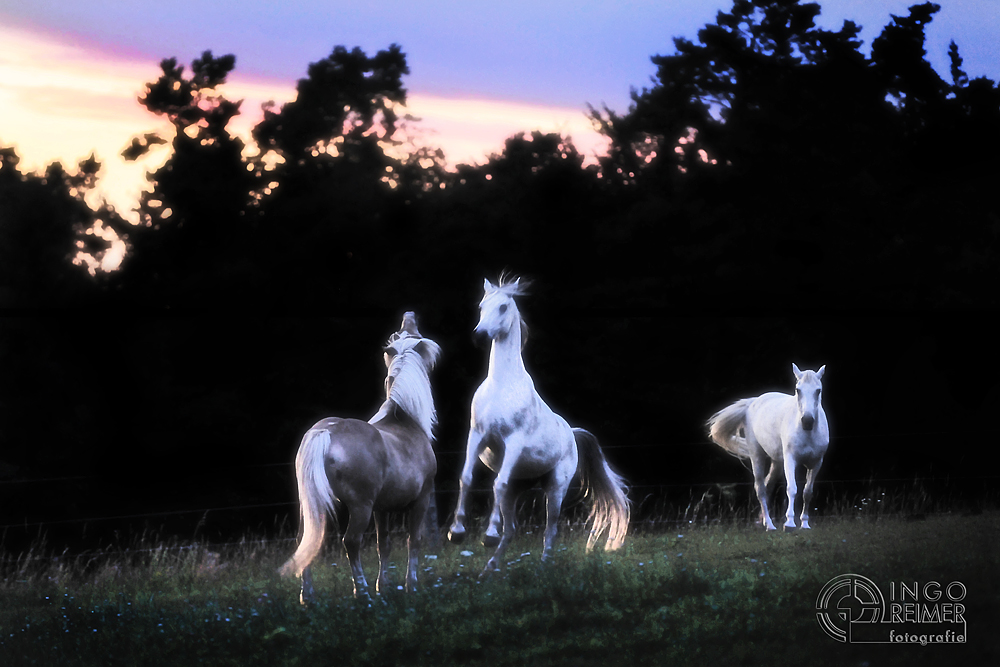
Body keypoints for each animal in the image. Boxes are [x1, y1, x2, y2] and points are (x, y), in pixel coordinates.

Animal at [280, 314, 440, 604]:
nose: (409, 315)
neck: (404, 421)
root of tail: (325, 431)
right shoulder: (421, 499)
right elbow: (414, 541)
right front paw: (410, 585)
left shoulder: (382, 508)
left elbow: (383, 544)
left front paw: (384, 585)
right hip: (360, 507)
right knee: (351, 542)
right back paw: (361, 591)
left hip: (313, 505)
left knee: (306, 541)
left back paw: (308, 596)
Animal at [446, 278, 624, 576]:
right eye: (482, 306)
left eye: (503, 306)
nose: (479, 336)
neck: (502, 386)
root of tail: (572, 434)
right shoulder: (477, 436)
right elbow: (467, 478)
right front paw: (456, 532)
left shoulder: (513, 442)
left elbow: (497, 482)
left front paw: (487, 534)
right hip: (519, 489)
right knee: (511, 529)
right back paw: (489, 571)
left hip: (555, 489)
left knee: (549, 530)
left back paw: (542, 569)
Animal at [708, 366, 832, 532]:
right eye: (798, 390)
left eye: (818, 390)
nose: (807, 421)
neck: (808, 433)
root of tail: (752, 402)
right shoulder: (790, 460)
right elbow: (792, 489)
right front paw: (789, 523)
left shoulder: (816, 463)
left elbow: (807, 492)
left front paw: (805, 524)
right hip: (757, 456)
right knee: (760, 489)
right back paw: (770, 525)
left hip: (777, 462)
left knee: (768, 487)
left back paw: (764, 522)